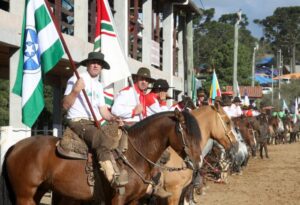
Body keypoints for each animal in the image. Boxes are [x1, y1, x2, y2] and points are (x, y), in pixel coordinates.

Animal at [0, 110, 202, 205]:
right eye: (187, 132)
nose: (198, 161)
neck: (131, 155)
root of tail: (15, 146)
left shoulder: (135, 200)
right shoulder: (117, 199)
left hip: (39, 191)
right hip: (25, 195)